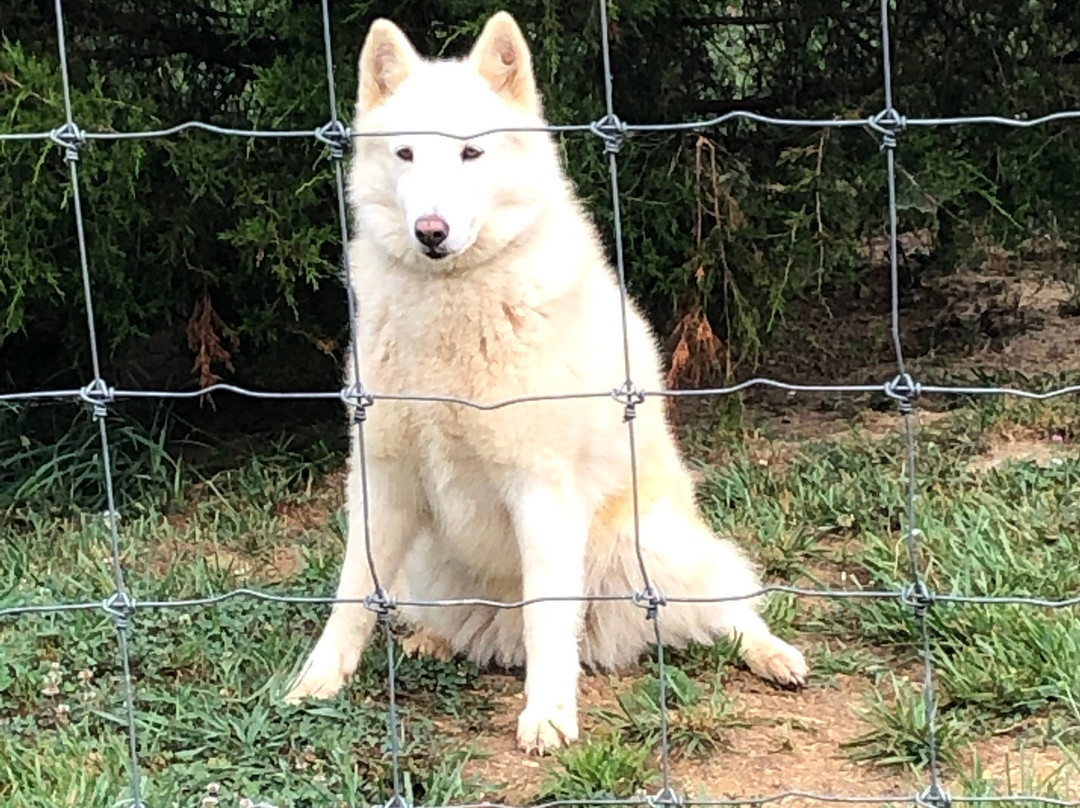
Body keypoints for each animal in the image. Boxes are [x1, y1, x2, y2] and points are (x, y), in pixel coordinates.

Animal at [282, 11, 808, 754]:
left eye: (470, 154)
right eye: (407, 155)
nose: (431, 232)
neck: (452, 309)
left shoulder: (540, 492)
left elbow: (546, 614)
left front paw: (549, 714)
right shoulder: (382, 483)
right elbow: (352, 595)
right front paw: (315, 685)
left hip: (650, 545)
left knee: (726, 607)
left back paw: (771, 653)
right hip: (429, 565)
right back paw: (433, 641)